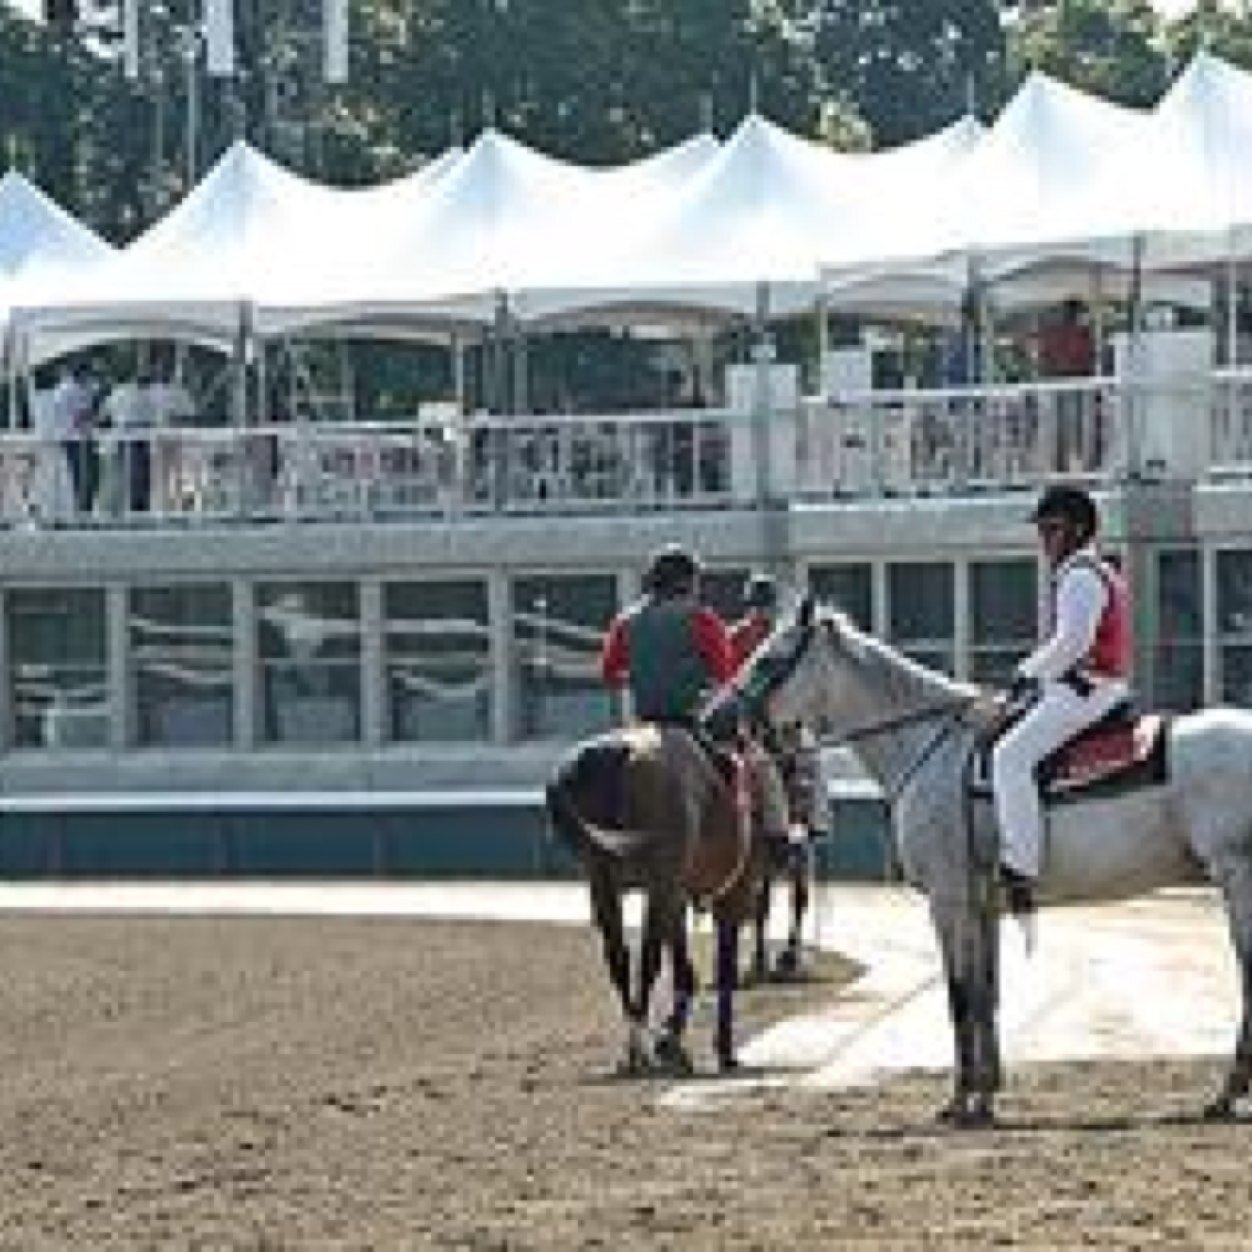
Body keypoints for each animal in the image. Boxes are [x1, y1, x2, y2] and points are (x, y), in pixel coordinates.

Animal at [545, 726, 781, 1076]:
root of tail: (620, 751)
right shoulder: (729, 900)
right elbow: (723, 973)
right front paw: (720, 1050)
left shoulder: (674, 898)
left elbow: (684, 969)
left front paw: (671, 1043)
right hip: (659, 886)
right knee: (648, 960)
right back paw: (641, 1051)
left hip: (605, 884)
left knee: (620, 959)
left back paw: (635, 1049)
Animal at [711, 595, 1252, 1126]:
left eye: (770, 659)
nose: (713, 717)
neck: (932, 748)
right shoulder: (983, 905)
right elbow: (986, 993)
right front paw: (986, 1095)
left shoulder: (949, 901)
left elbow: (959, 995)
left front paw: (960, 1099)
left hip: (1236, 878)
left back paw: (1227, 1093)